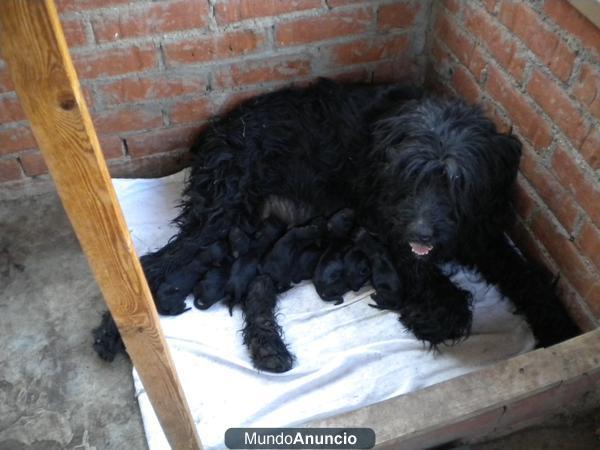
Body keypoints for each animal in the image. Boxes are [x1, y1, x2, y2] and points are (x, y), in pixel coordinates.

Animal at [94, 78, 576, 372]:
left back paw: (268, 348)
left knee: (257, 287)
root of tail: (216, 131)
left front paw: (562, 330)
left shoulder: (481, 232)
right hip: (220, 216)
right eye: (412, 175)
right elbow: (440, 290)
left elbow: (528, 276)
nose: (422, 234)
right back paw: (116, 335)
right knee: (155, 263)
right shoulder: (388, 227)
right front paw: (433, 314)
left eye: (457, 183)